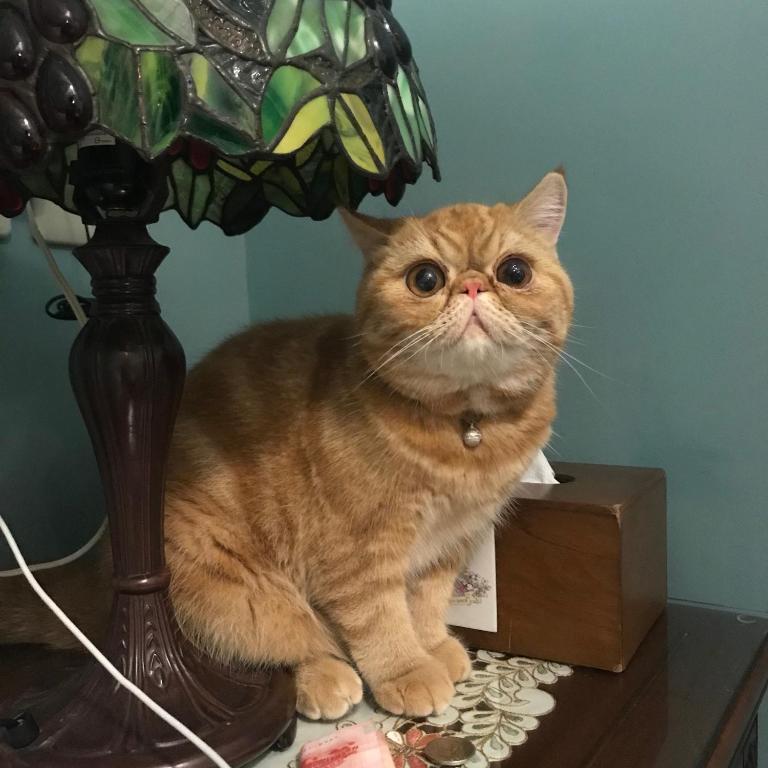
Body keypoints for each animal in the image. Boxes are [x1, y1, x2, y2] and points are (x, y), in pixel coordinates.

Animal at [164, 170, 568, 720]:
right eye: (425, 279)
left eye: (514, 271)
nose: (472, 284)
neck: (464, 429)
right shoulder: (358, 549)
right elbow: (379, 617)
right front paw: (408, 670)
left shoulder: (450, 542)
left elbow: (426, 602)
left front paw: (432, 646)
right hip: (236, 588)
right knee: (278, 642)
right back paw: (325, 678)